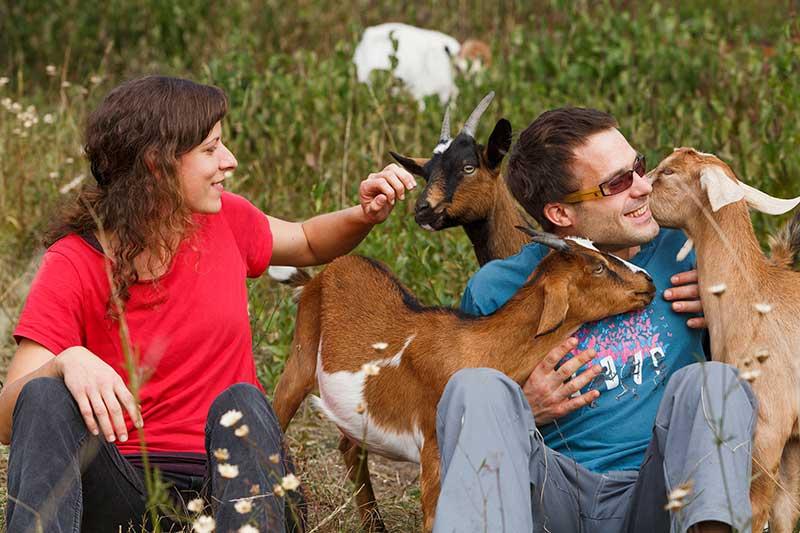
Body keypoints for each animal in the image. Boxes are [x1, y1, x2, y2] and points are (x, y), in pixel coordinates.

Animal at [272, 230, 652, 532]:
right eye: (597, 266)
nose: (647, 280)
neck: (477, 347)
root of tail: (321, 276)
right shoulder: (434, 452)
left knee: (350, 449)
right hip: (300, 360)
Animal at [648, 147, 800, 532]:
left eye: (669, 172)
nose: (640, 188)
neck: (753, 299)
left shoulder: (767, 431)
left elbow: (753, 512)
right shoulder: (792, 439)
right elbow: (785, 511)